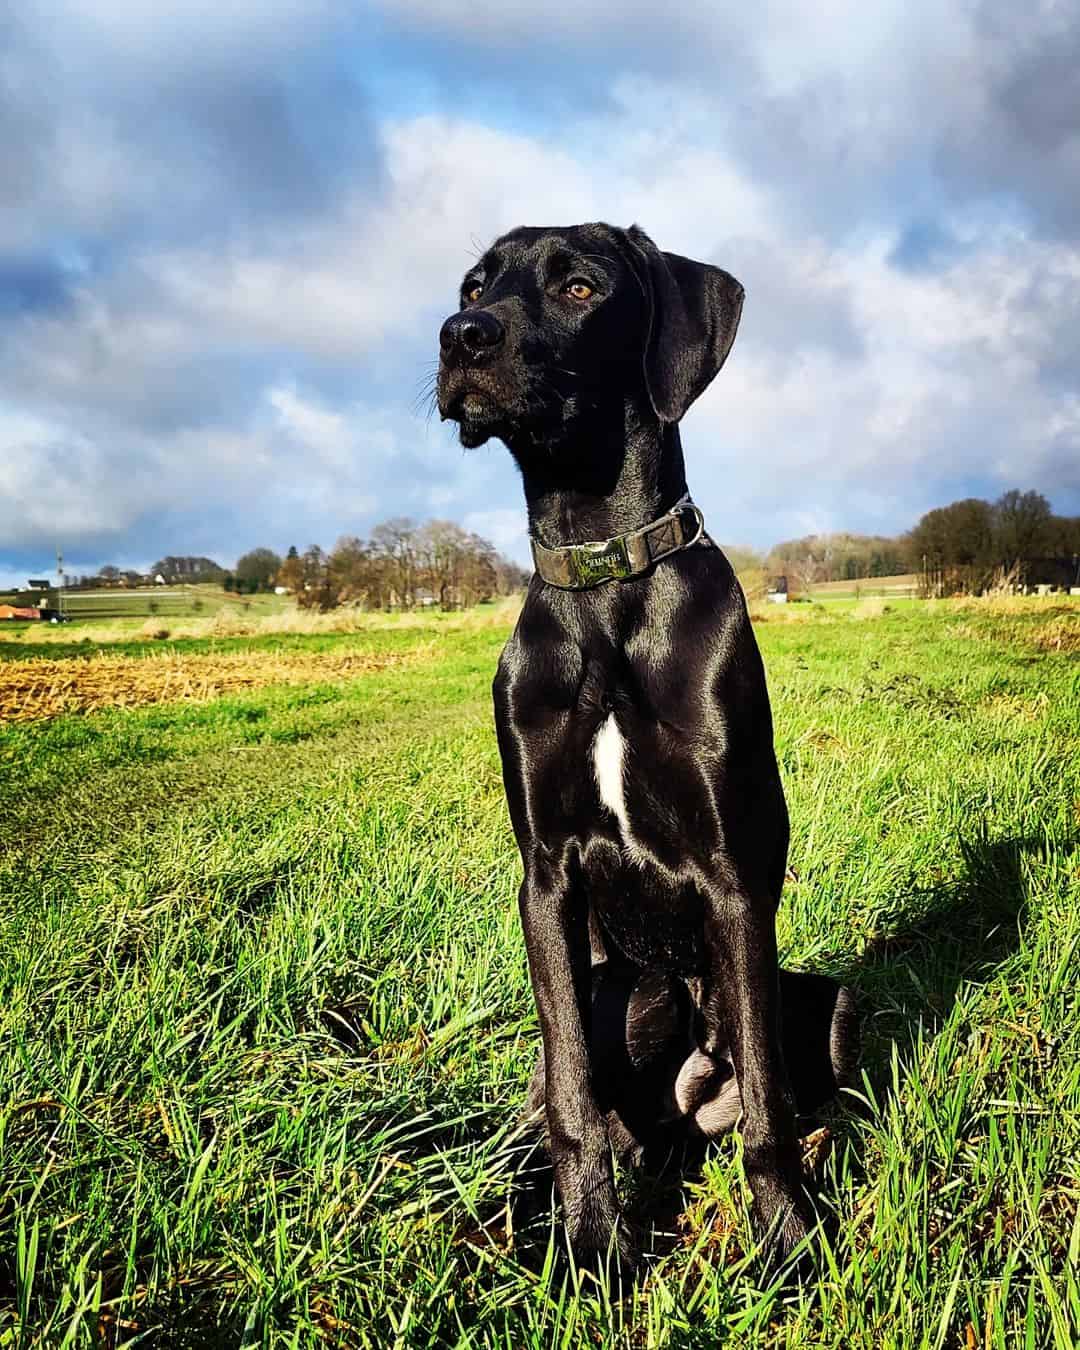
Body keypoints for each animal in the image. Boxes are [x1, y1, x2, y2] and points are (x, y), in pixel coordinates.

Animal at [437, 221, 853, 1263]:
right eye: (474, 286)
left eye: (581, 287)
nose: (460, 337)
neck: (603, 581)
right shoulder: (545, 878)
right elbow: (572, 1094)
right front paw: (591, 1247)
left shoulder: (733, 876)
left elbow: (770, 1104)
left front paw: (788, 1240)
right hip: (626, 988)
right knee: (572, 1101)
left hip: (827, 1002)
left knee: (789, 1081)